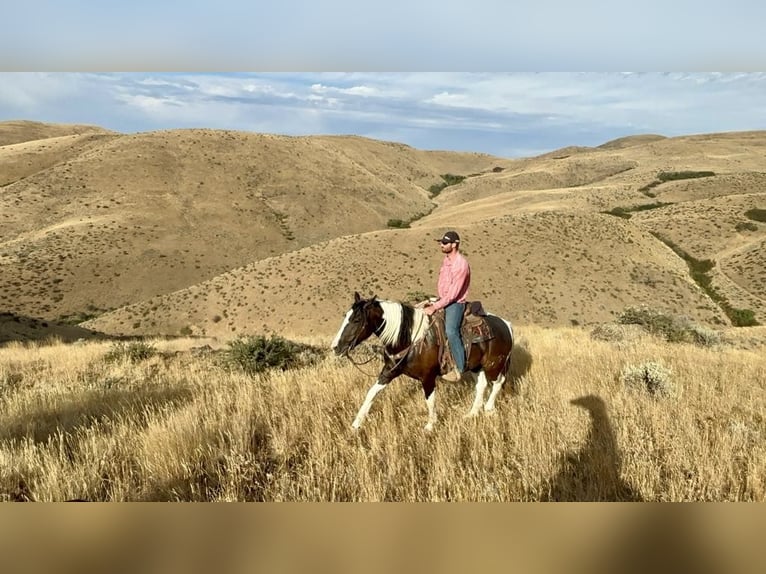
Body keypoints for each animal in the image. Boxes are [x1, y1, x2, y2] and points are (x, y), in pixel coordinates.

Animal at [332, 292, 516, 432]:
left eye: (356, 320)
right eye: (346, 316)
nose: (335, 347)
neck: (410, 337)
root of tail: (506, 324)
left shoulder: (428, 377)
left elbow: (430, 399)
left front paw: (430, 426)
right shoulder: (390, 370)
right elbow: (371, 393)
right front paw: (356, 424)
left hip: (494, 365)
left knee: (498, 383)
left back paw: (489, 409)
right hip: (478, 366)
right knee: (482, 385)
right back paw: (472, 413)